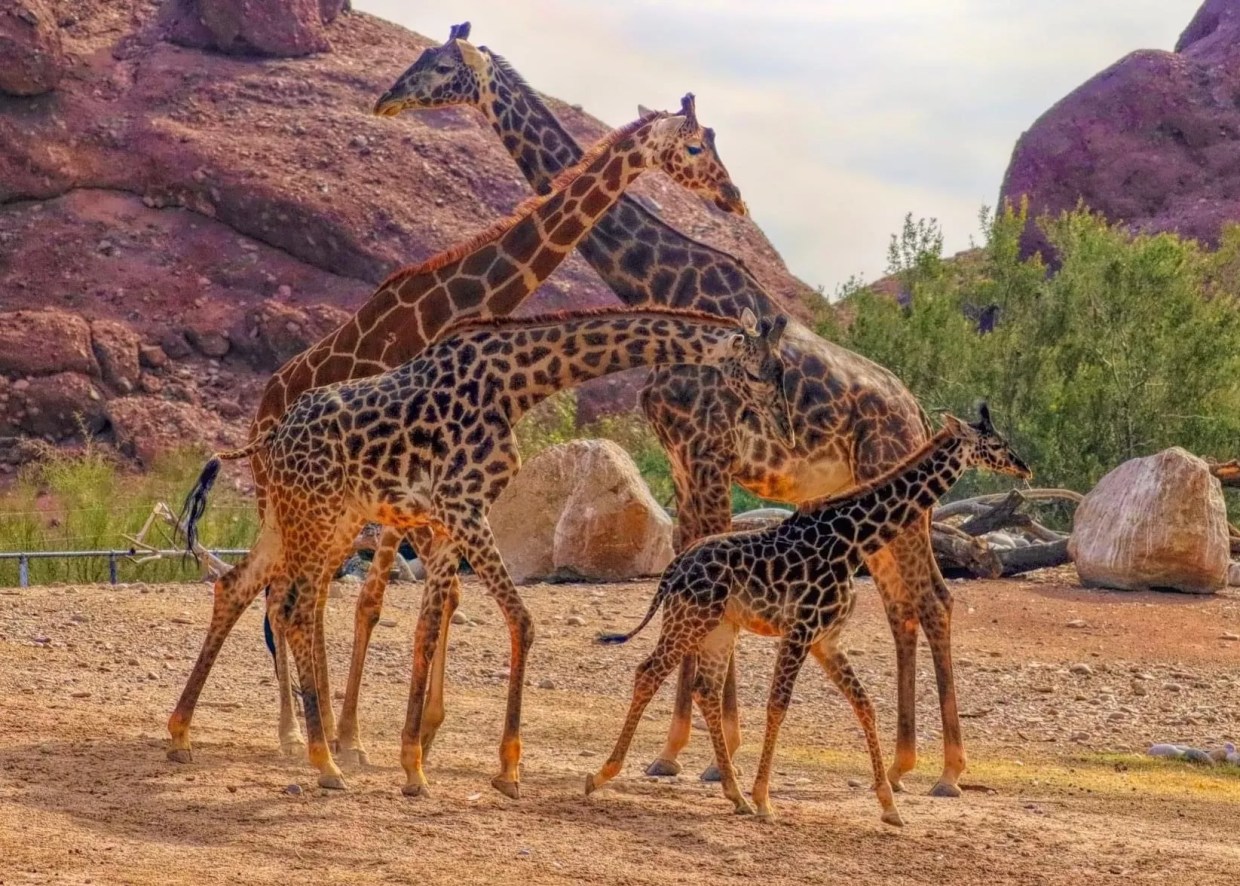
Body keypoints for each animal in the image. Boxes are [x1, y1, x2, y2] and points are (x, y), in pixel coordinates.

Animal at [179, 305, 794, 797]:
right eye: (759, 370)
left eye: (782, 372)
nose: (784, 431)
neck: (516, 384)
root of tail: (272, 435)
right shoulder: (463, 509)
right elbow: (521, 620)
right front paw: (507, 770)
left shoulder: (450, 519)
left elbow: (429, 626)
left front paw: (414, 765)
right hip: (319, 513)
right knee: (296, 605)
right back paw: (324, 760)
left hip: (303, 516)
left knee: (240, 587)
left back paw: (182, 734)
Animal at [374, 25, 974, 796]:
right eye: (422, 58)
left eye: (441, 65)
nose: (387, 100)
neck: (658, 287)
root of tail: (917, 413)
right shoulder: (686, 459)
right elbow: (694, 565)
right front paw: (677, 750)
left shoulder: (710, 452)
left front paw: (718, 755)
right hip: (869, 497)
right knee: (905, 604)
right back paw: (901, 763)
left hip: (896, 488)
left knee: (933, 599)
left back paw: (948, 770)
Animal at [586, 404, 1031, 824]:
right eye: (995, 443)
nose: (1023, 466)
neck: (853, 541)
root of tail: (671, 572)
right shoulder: (800, 629)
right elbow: (778, 705)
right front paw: (765, 800)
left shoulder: (825, 639)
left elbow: (864, 704)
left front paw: (889, 806)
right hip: (690, 619)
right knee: (648, 672)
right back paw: (603, 775)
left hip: (719, 629)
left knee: (704, 689)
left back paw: (734, 795)